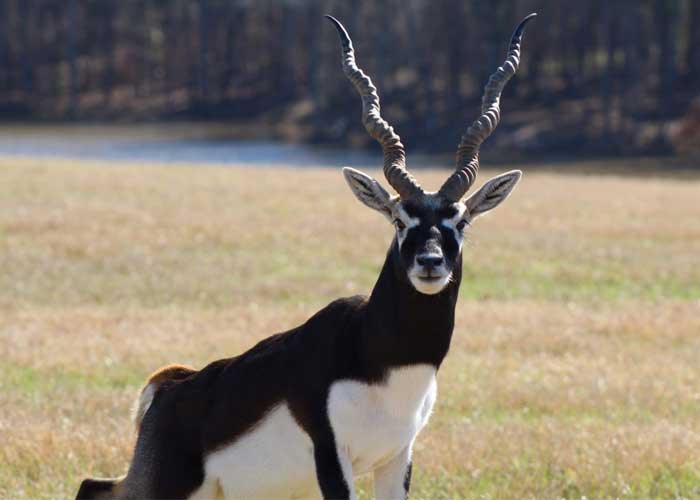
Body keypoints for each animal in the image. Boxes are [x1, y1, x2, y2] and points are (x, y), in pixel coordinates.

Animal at [77, 13, 535, 500]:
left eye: (461, 222)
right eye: (398, 219)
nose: (430, 262)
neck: (383, 359)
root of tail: (171, 385)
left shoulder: (397, 456)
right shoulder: (331, 456)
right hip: (164, 485)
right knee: (92, 484)